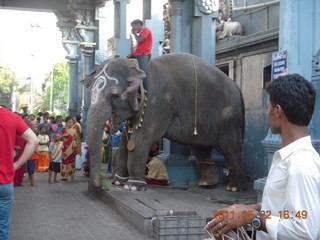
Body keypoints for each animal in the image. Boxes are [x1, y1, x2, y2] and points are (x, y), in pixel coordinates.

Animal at [81, 52, 246, 191]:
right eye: (90, 92)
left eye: (114, 95)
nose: (100, 186)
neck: (137, 68)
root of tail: (238, 88)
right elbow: (125, 142)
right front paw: (118, 182)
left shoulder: (157, 104)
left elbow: (141, 139)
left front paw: (133, 187)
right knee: (200, 148)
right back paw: (207, 184)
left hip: (230, 119)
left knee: (230, 148)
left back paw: (234, 188)